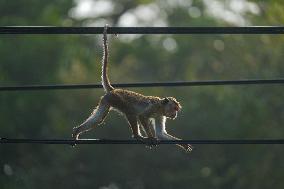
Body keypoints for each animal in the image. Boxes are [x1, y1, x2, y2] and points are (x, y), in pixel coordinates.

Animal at [72, 24, 192, 152]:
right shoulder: (154, 108)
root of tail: (114, 90)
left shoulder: (160, 115)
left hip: (107, 100)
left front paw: (184, 144)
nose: (175, 115)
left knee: (98, 119)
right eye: (174, 108)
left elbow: (161, 134)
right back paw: (137, 136)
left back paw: (77, 131)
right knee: (131, 112)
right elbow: (142, 116)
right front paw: (151, 138)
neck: (161, 107)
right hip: (118, 99)